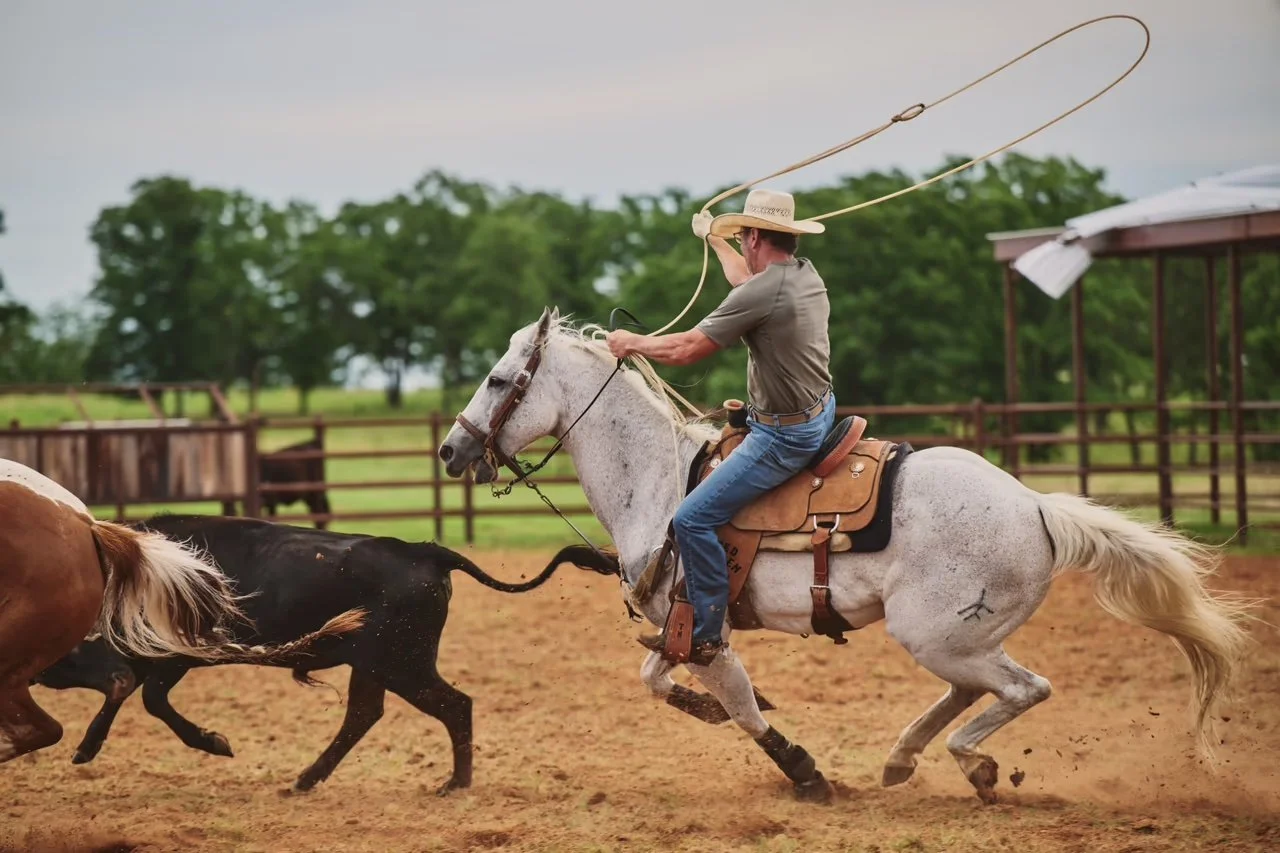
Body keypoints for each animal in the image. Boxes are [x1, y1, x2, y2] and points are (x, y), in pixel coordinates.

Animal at [33, 514, 619, 794]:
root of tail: (424, 551)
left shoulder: (173, 656)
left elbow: (146, 695)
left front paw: (208, 742)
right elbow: (138, 691)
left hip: (400, 662)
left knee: (449, 705)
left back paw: (454, 783)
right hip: (379, 665)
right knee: (372, 713)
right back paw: (311, 779)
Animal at [435, 307, 1253, 804]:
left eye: (500, 379)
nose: (449, 450)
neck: (659, 479)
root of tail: (1036, 507)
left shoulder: (702, 628)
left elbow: (738, 705)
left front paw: (803, 771)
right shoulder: (679, 629)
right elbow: (658, 680)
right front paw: (708, 710)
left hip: (937, 632)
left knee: (1025, 688)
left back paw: (971, 762)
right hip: (952, 638)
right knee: (973, 689)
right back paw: (903, 756)